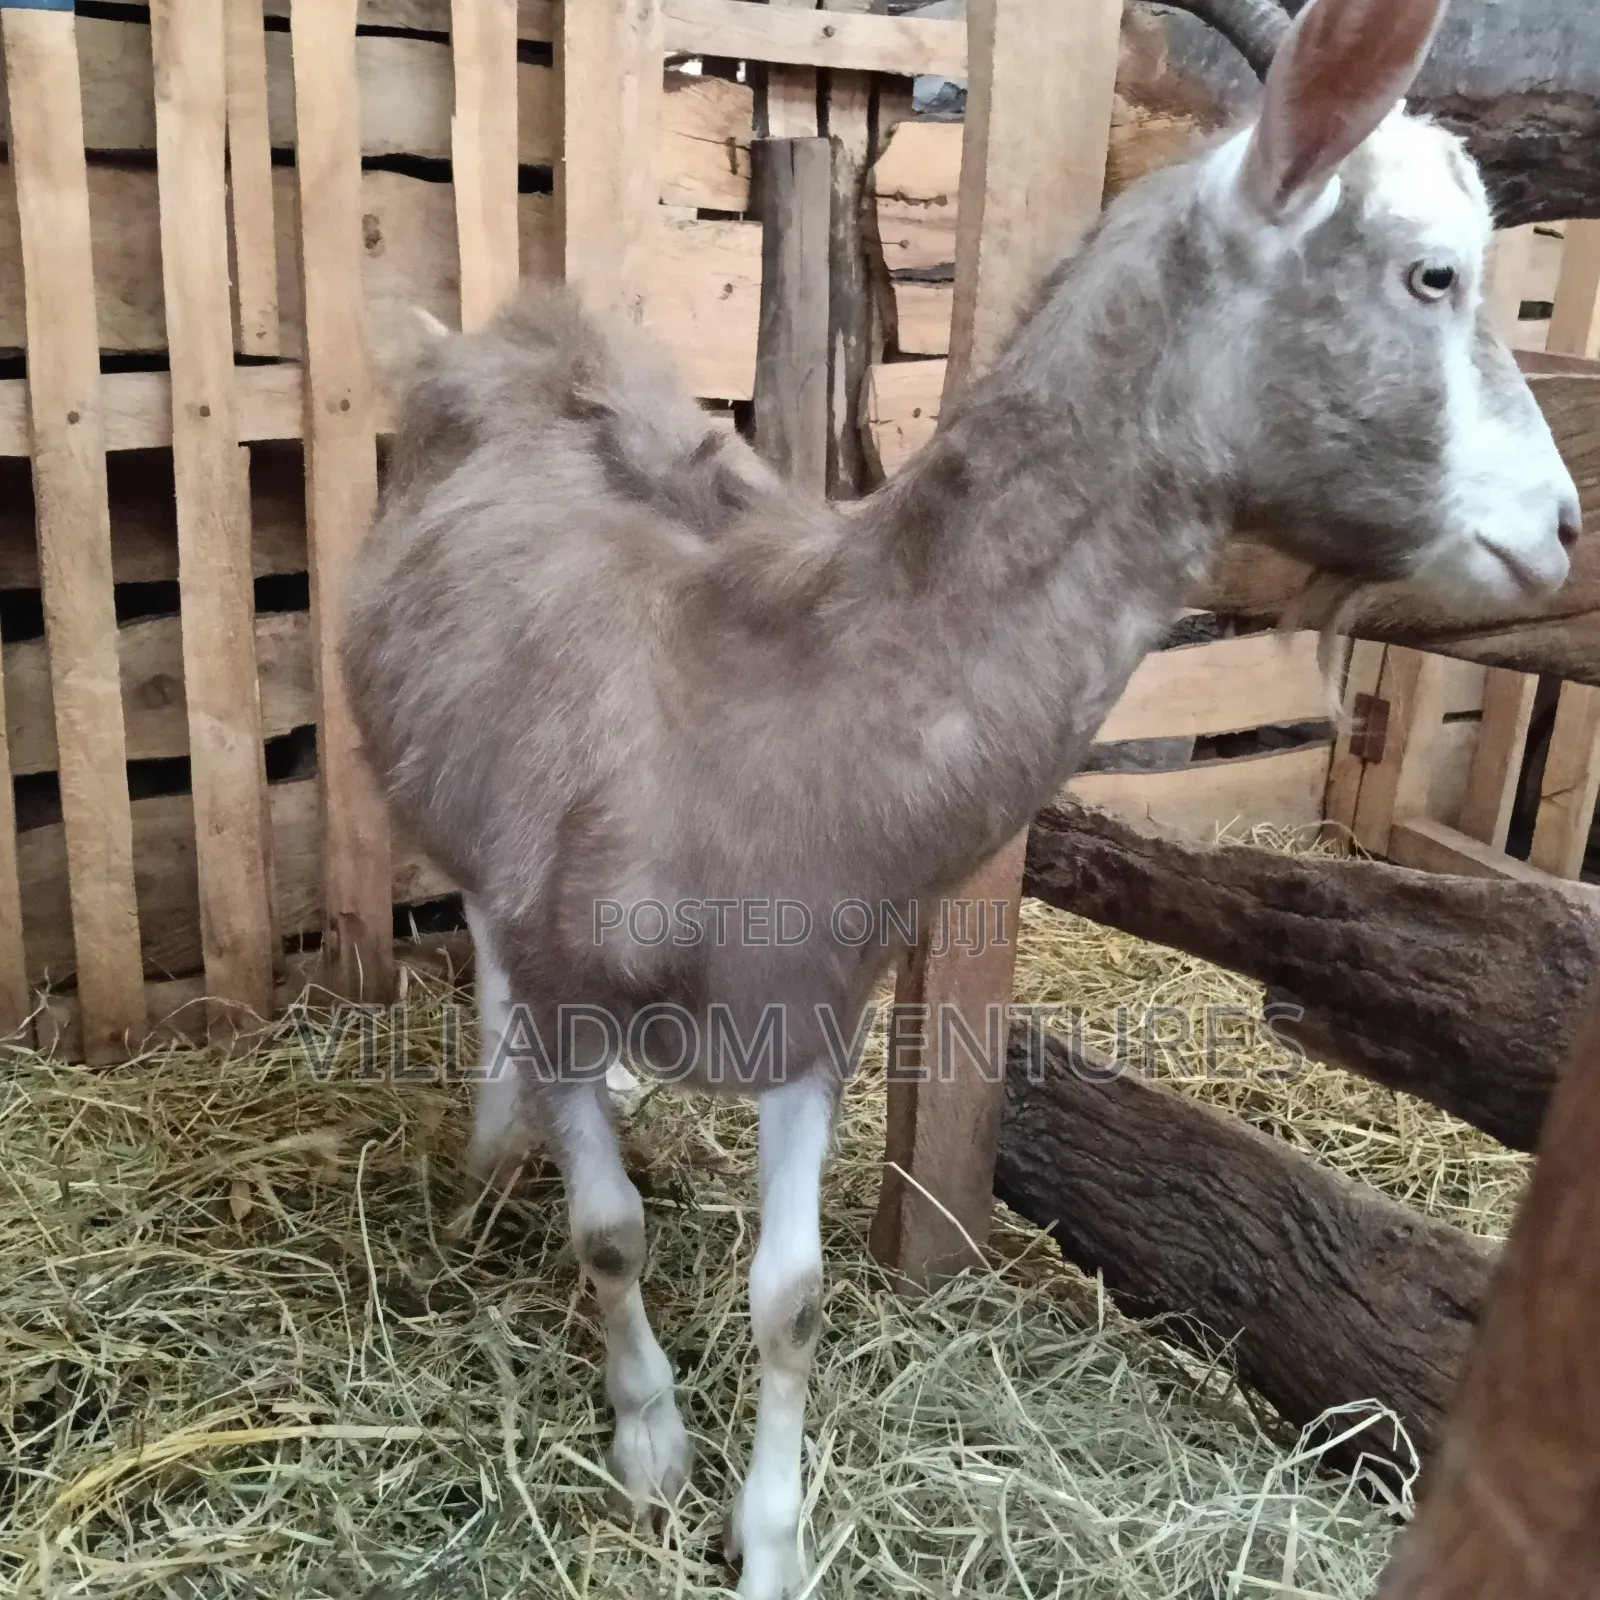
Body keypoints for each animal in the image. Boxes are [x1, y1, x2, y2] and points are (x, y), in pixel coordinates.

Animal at [342, 0, 1581, 1591]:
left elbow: (793, 1296)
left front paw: (770, 1543)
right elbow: (608, 1231)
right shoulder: (570, 969)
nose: (1558, 529)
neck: (757, 698)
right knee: (485, 946)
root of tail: (499, 345)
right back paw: (499, 1139)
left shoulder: (814, 1009)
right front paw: (649, 1453)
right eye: (1434, 272)